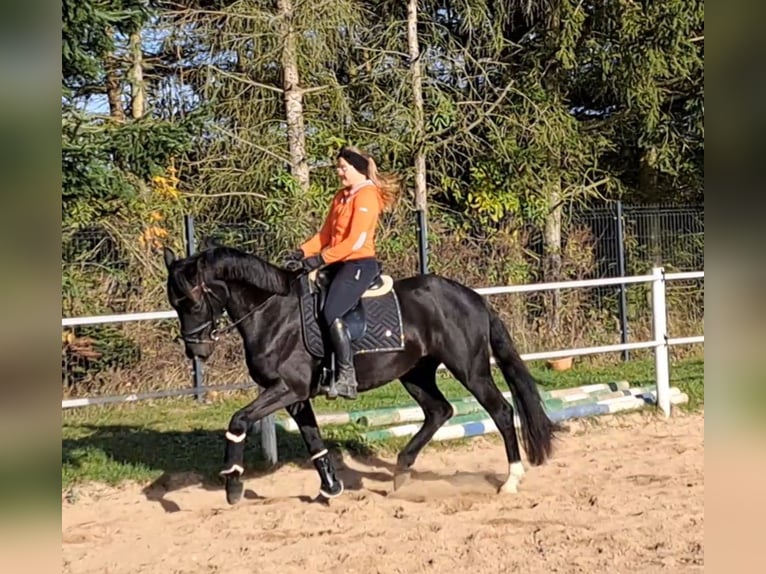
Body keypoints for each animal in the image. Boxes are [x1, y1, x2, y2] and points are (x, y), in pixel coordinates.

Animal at [164, 245, 560, 506]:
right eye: (174, 304)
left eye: (193, 302)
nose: (196, 352)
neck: (272, 313)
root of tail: (473, 297)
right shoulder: (295, 396)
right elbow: (313, 439)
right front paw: (330, 488)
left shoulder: (287, 388)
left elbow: (239, 420)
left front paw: (232, 484)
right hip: (415, 373)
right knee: (439, 411)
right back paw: (401, 470)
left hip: (470, 368)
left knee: (501, 412)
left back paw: (511, 480)